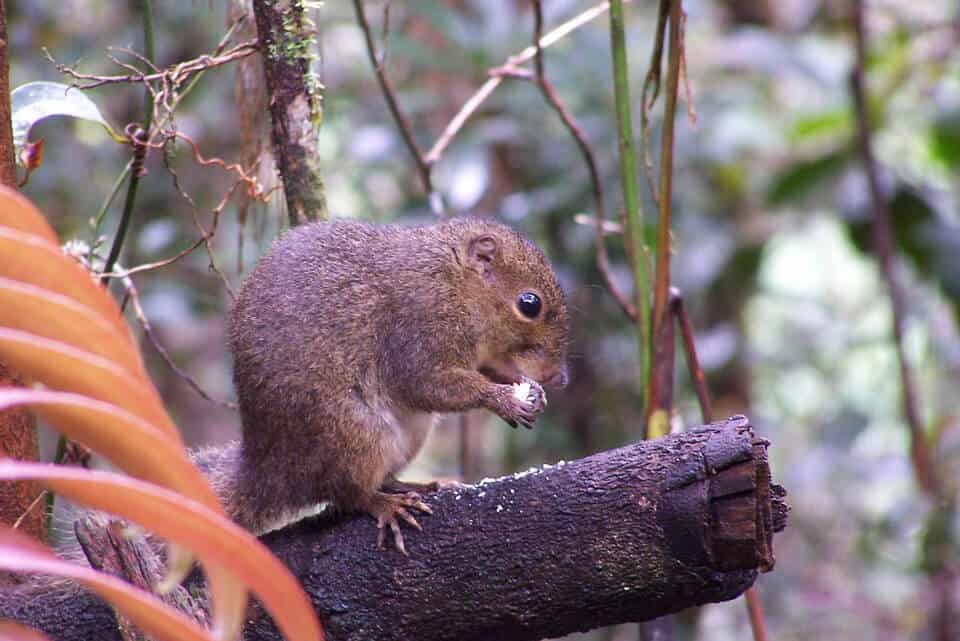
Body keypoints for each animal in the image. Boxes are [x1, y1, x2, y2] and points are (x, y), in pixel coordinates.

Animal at [196, 216, 568, 556]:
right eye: (529, 304)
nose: (559, 377)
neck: (456, 282)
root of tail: (269, 467)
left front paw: (526, 388)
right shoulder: (420, 323)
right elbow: (427, 385)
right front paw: (504, 399)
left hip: (409, 435)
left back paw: (419, 484)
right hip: (353, 436)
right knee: (347, 495)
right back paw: (386, 505)